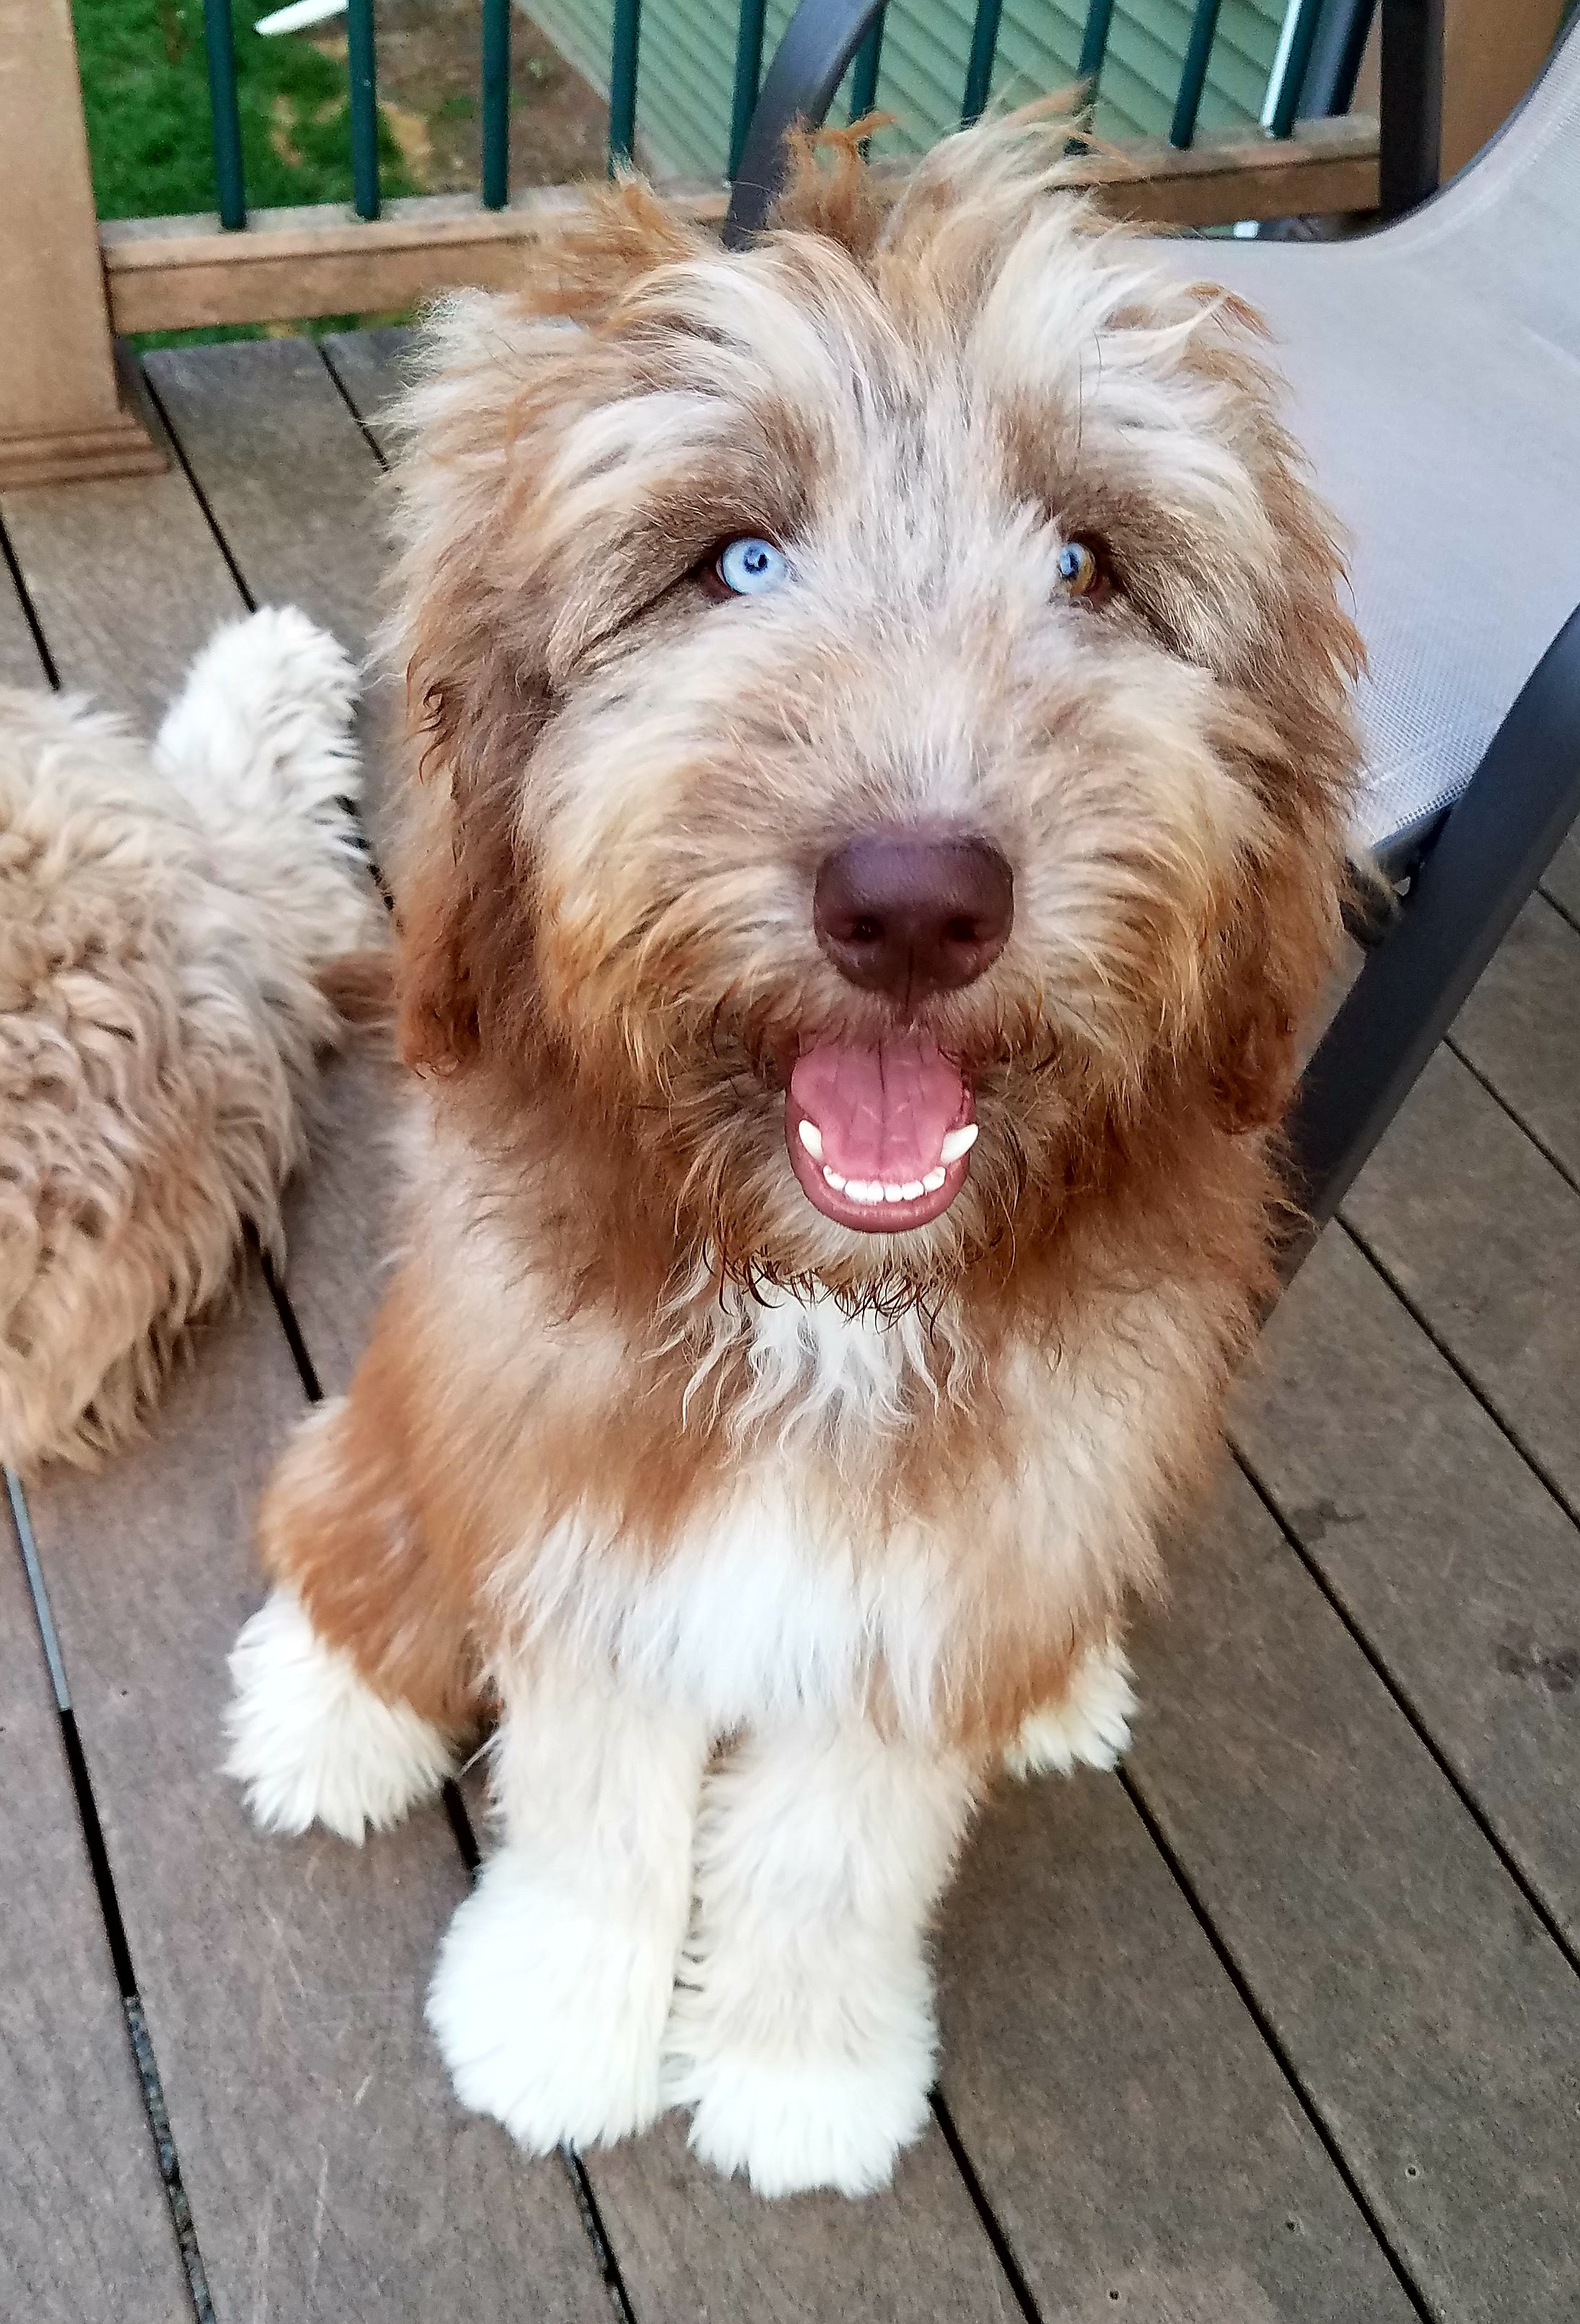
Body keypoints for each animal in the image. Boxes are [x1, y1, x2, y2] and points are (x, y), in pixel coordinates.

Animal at [229, 127, 1366, 2193]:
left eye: (1086, 563)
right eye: (734, 562)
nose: (914, 901)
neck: (829, 1300)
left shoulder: (938, 1589)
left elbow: (836, 1851)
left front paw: (794, 2072)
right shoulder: (588, 1511)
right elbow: (601, 1817)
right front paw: (558, 2027)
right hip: (408, 1417)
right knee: (349, 1523)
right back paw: (321, 1718)